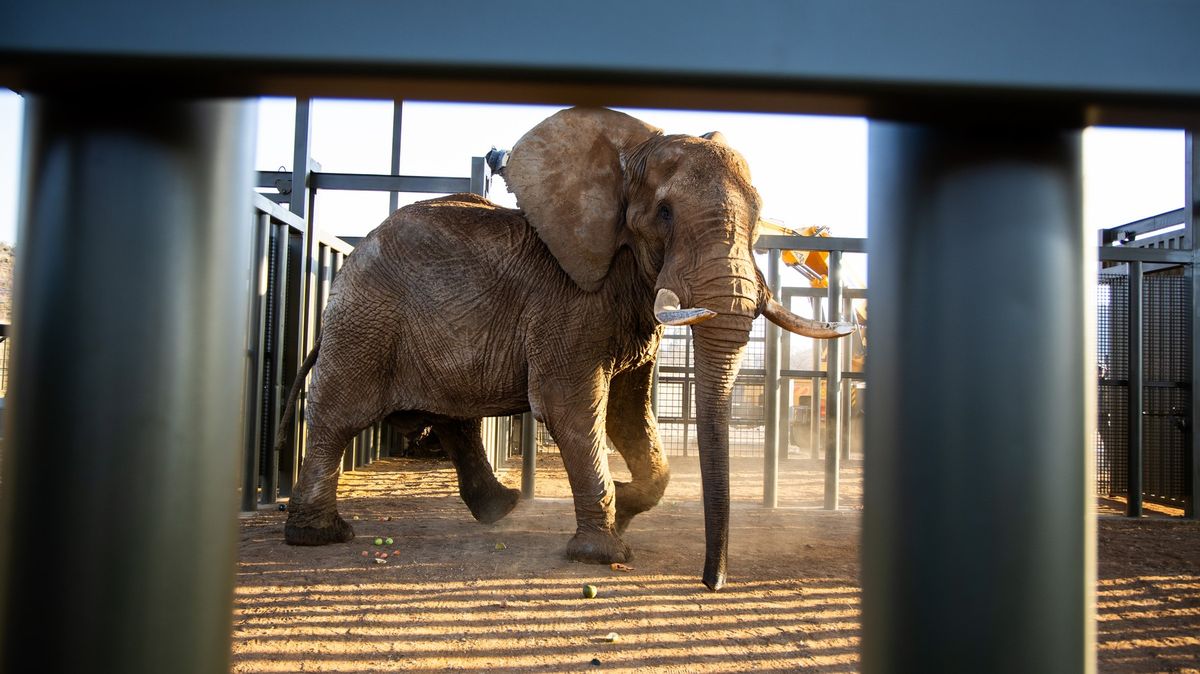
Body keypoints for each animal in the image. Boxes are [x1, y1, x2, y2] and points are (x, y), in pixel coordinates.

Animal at [279, 106, 854, 587]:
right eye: (665, 214)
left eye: (759, 216)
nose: (713, 583)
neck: (629, 153)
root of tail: (350, 260)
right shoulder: (570, 301)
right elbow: (572, 409)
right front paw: (604, 553)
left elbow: (628, 410)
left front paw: (625, 506)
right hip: (365, 322)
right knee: (338, 417)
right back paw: (319, 536)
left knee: (453, 418)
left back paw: (502, 508)